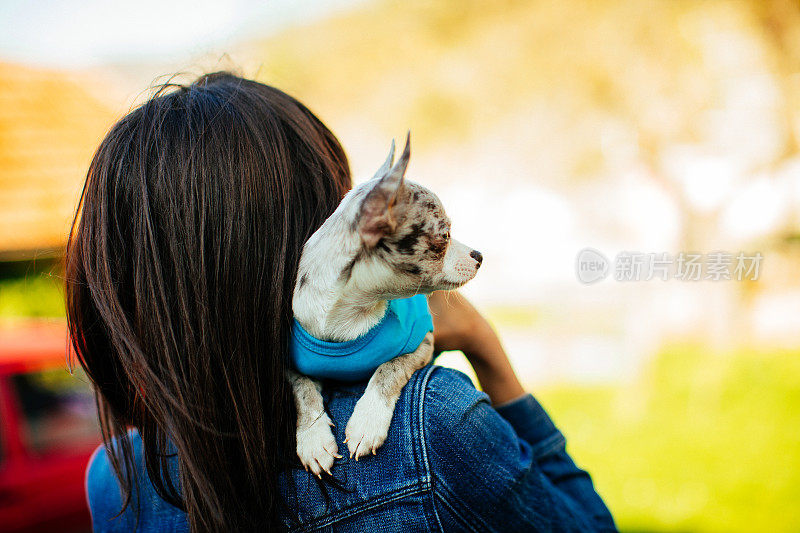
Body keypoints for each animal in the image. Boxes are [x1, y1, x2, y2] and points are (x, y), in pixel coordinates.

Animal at [292, 135, 484, 476]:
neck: (352, 314)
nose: (479, 255)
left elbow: (389, 368)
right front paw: (313, 437)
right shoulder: (291, 364)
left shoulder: (422, 341)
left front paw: (367, 420)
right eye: (445, 235)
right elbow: (303, 389)